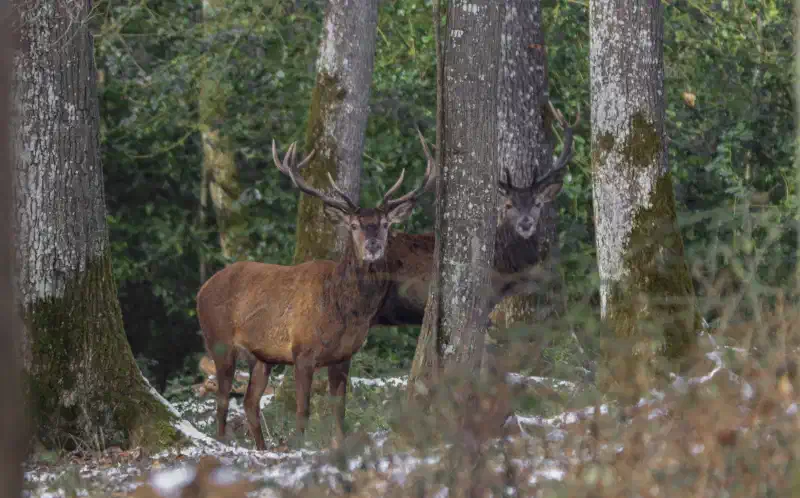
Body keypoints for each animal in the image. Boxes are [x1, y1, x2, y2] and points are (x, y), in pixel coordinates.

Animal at [196, 132, 435, 450]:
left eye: (384, 224)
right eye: (354, 225)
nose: (374, 246)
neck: (342, 307)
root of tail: (202, 289)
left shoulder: (344, 356)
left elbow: (339, 410)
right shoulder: (302, 351)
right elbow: (303, 409)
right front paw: (298, 446)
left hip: (263, 356)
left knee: (249, 402)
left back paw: (262, 449)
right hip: (219, 340)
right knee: (222, 401)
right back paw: (223, 443)